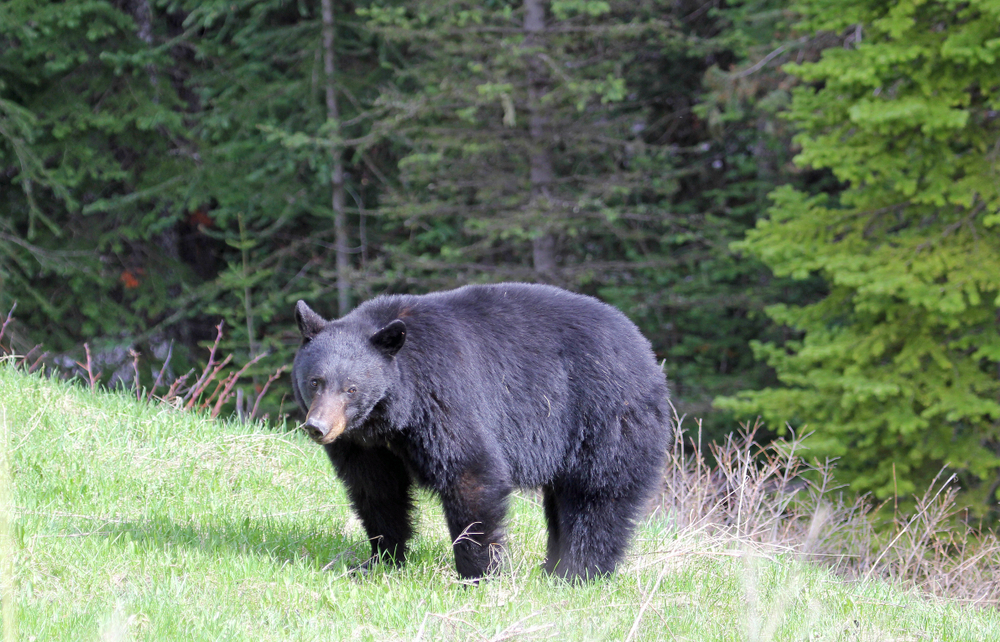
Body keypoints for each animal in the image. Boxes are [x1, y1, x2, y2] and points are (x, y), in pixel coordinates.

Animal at [292, 282, 672, 576]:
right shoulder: (364, 444)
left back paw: (577, 573)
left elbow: (470, 472)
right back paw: (553, 568)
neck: (389, 416)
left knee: (599, 495)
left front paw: (477, 573)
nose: (318, 427)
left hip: (604, 417)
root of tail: (646, 352)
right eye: (315, 381)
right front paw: (379, 561)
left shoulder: (444, 397)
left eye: (351, 388)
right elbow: (376, 491)